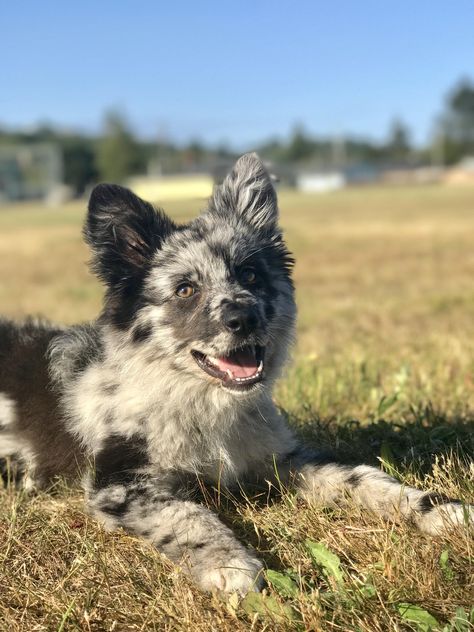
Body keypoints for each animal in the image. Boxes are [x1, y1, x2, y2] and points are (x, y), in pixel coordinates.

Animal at [0, 153, 470, 592]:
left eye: (250, 274)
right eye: (185, 289)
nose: (243, 318)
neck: (199, 401)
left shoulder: (283, 460)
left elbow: (363, 478)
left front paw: (435, 508)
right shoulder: (121, 484)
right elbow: (190, 515)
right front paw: (231, 564)